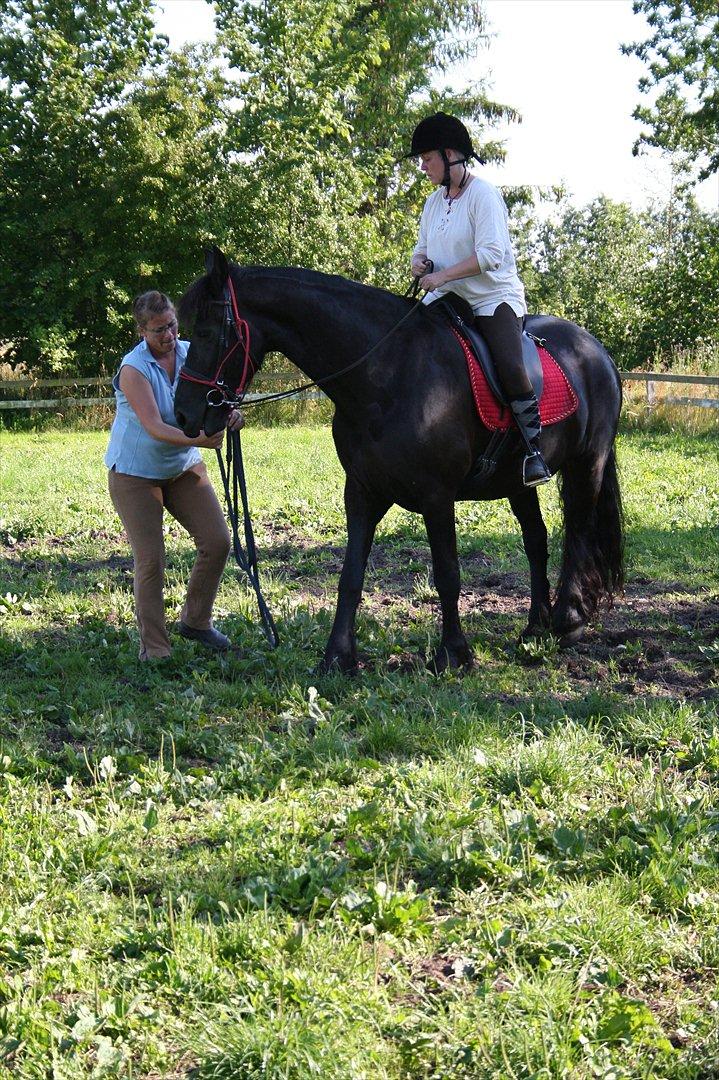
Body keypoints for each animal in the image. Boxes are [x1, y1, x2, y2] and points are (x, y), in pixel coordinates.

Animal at [174, 247, 621, 669]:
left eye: (208, 330)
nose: (185, 414)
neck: (386, 373)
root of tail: (595, 350)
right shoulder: (361, 492)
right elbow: (350, 576)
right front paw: (337, 657)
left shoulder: (437, 496)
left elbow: (447, 573)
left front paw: (453, 654)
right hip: (516, 481)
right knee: (536, 540)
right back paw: (534, 628)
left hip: (587, 464)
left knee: (578, 534)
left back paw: (568, 620)